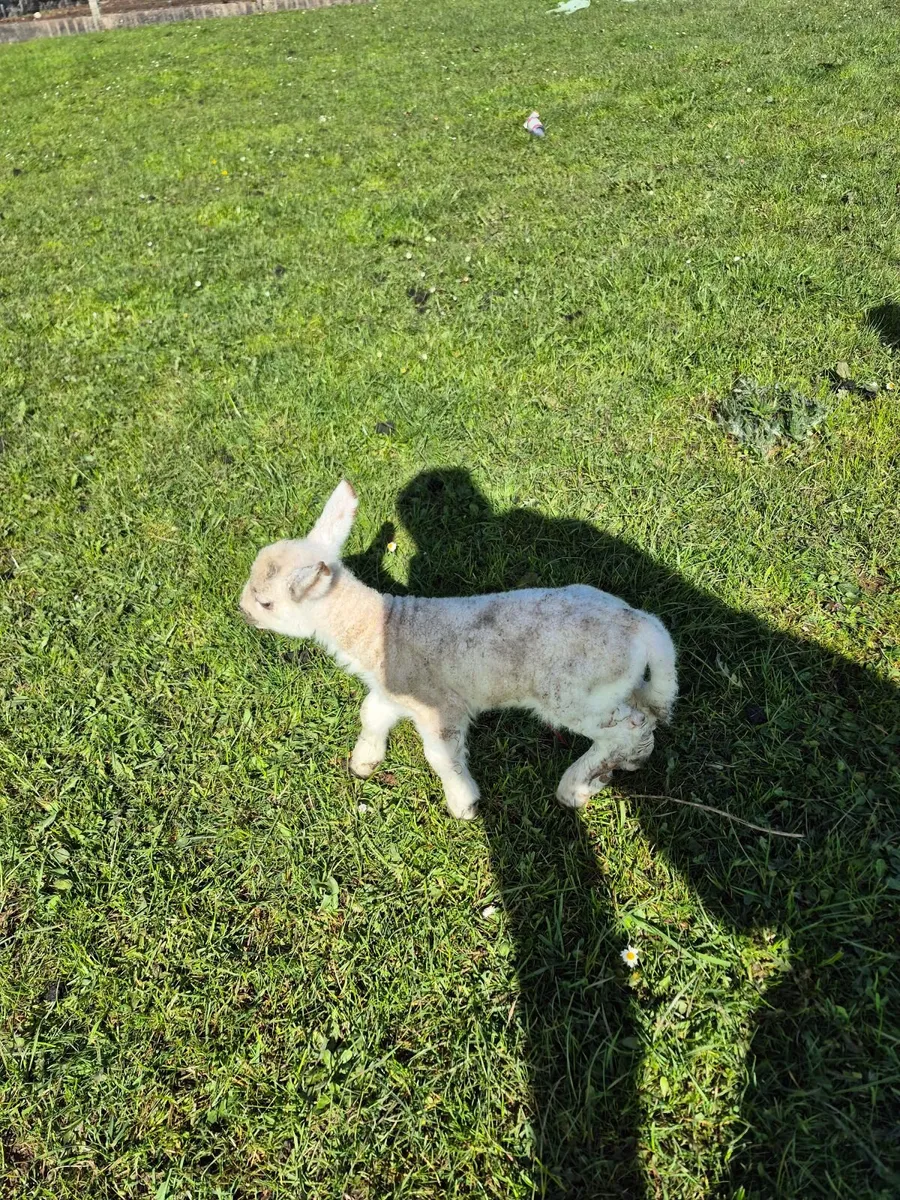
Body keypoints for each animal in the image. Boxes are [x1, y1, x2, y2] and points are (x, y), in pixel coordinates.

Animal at [239, 481, 677, 819]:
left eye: (266, 602)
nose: (242, 611)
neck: (382, 629)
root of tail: (644, 625)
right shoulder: (396, 692)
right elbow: (371, 714)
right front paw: (364, 761)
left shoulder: (438, 706)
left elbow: (441, 756)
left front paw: (464, 804)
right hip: (621, 684)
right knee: (645, 719)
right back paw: (619, 767)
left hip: (576, 693)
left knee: (626, 728)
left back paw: (576, 785)